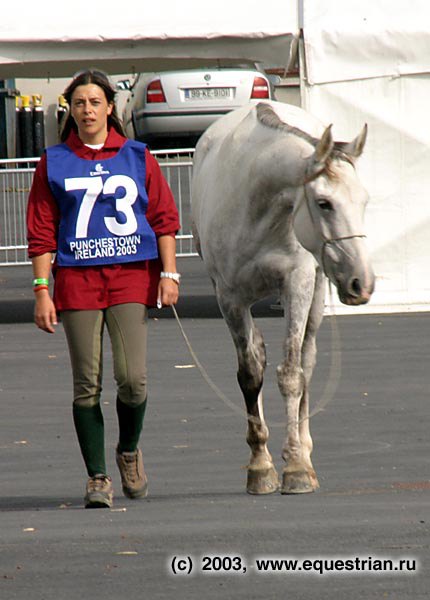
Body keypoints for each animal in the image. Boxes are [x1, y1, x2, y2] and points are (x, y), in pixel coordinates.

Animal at [192, 102, 376, 496]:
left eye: (364, 200)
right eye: (324, 203)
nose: (362, 282)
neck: (257, 208)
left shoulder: (298, 282)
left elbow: (292, 374)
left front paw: (296, 467)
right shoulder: (229, 297)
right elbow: (250, 373)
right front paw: (260, 466)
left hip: (318, 290)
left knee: (306, 361)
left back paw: (304, 450)